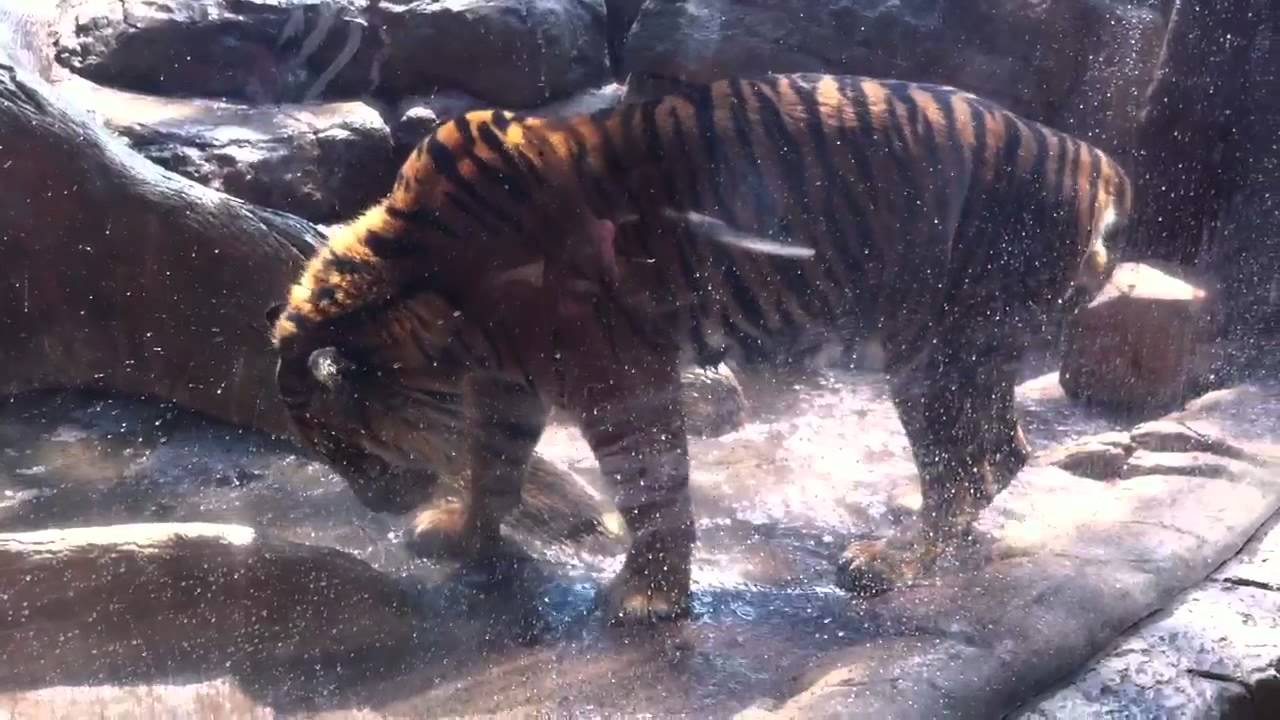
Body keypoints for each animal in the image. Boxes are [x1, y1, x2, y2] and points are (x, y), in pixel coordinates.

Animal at [267, 72, 1132, 624]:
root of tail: (1096, 162)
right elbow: (493, 463)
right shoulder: (509, 381)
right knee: (1002, 451)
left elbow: (650, 484)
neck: (432, 293)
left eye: (345, 448)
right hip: (966, 351)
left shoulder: (617, 372)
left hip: (934, 349)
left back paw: (891, 561)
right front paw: (462, 535)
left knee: (959, 466)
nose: (373, 505)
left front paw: (648, 598)